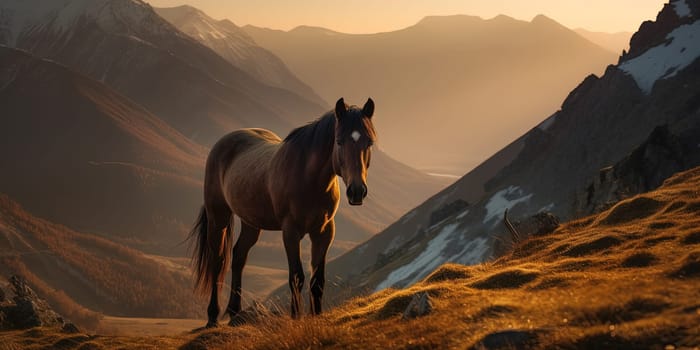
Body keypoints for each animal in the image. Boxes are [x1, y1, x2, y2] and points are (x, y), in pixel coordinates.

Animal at [189, 97, 378, 326]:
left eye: (369, 142)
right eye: (339, 141)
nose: (357, 191)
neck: (308, 179)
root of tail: (223, 142)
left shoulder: (324, 232)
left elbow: (317, 280)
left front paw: (316, 318)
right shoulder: (290, 232)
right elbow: (296, 277)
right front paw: (296, 319)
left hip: (251, 223)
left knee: (239, 256)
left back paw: (235, 311)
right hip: (219, 218)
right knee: (217, 261)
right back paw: (212, 317)